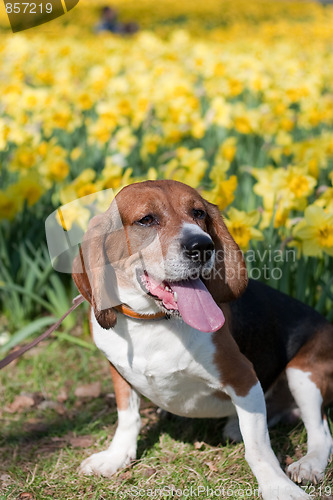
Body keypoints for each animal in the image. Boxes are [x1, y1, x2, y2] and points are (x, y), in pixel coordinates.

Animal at [71, 180, 330, 500]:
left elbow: (258, 448)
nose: (202, 246)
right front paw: (116, 456)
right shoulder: (118, 372)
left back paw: (309, 464)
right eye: (146, 220)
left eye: (199, 213)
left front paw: (278, 487)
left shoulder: (244, 377)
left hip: (303, 374)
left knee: (321, 430)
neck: (155, 322)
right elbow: (127, 417)